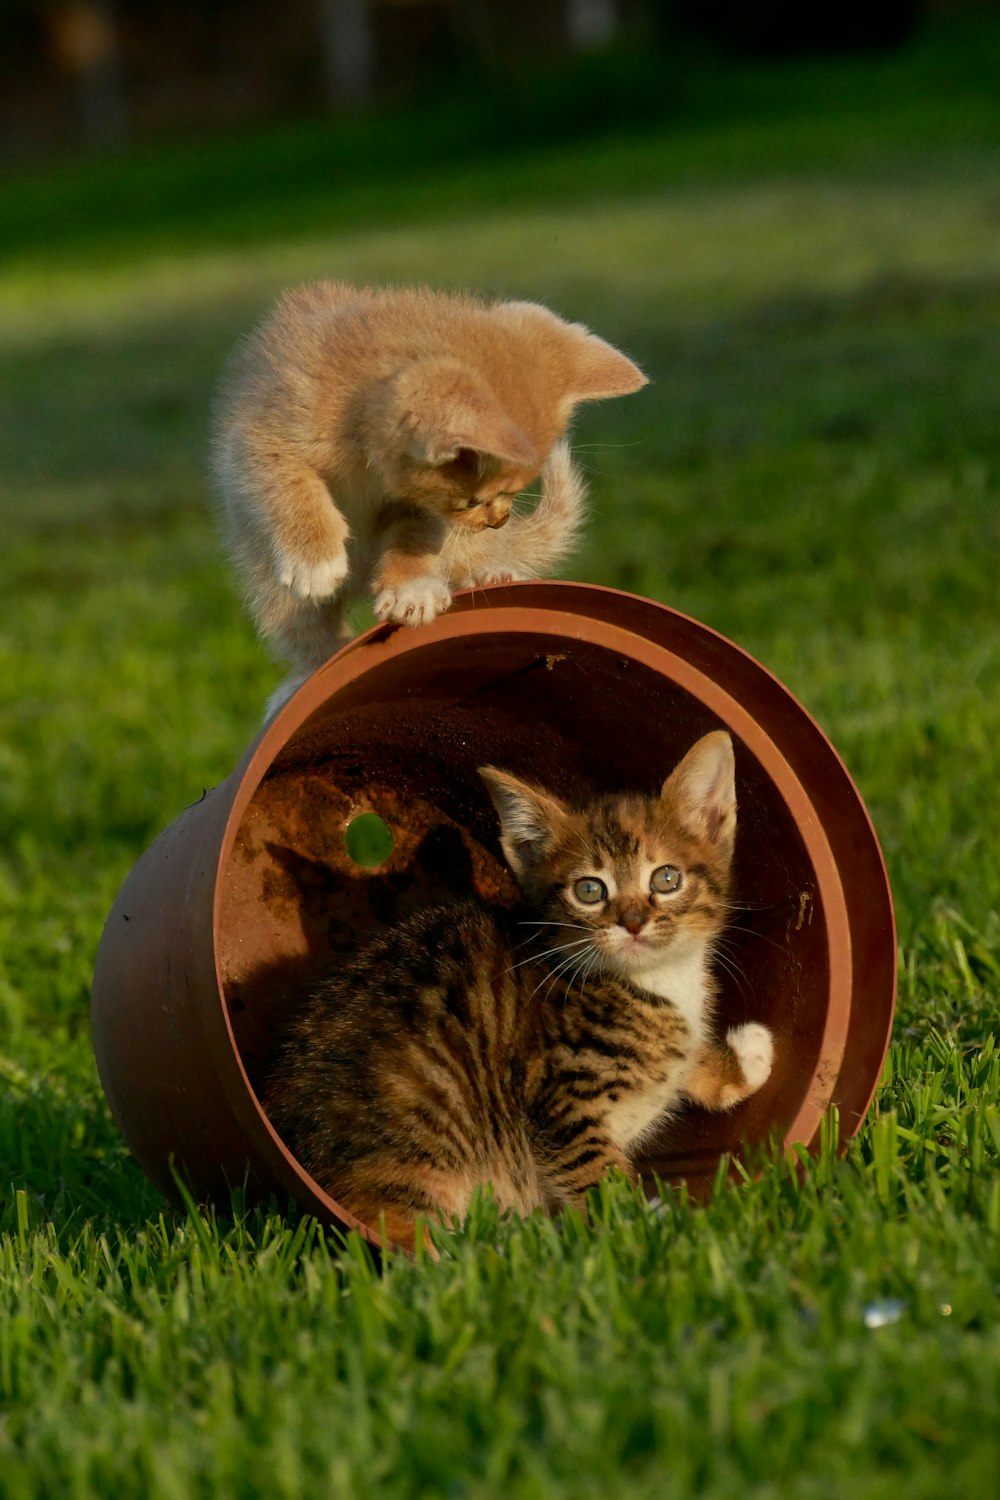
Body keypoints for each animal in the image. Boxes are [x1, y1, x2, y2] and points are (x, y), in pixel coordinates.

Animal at [212, 288, 650, 720]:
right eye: (475, 500)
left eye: (506, 496)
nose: (499, 520)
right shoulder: (252, 436)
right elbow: (285, 480)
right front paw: (315, 559)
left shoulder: (422, 505)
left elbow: (416, 534)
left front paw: (411, 589)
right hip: (267, 581)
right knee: (308, 635)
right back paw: (301, 681)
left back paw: (492, 573)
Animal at [262, 732, 773, 1248]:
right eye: (590, 890)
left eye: (667, 878)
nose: (632, 923)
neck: (651, 982)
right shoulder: (557, 1103)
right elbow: (598, 1176)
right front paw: (645, 1229)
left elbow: (687, 1056)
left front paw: (743, 1059)